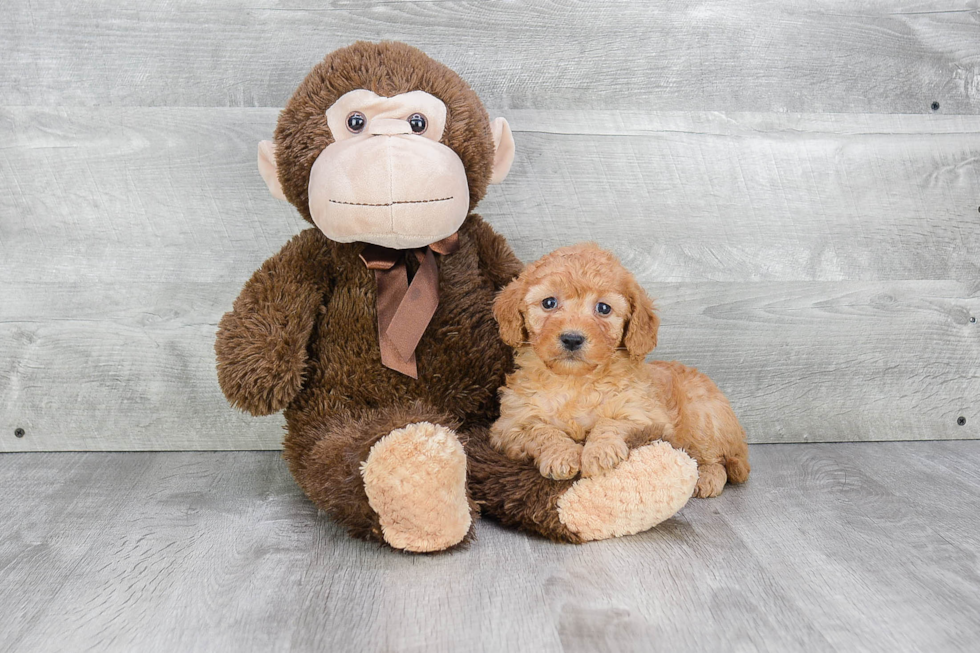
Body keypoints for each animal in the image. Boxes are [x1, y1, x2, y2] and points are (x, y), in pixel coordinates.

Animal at [490, 242, 752, 496]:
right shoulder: (508, 426)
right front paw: (561, 454)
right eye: (549, 303)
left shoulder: (645, 415)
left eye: (604, 308)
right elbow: (542, 430)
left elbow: (610, 422)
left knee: (718, 461)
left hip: (703, 419)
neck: (575, 381)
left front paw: (599, 452)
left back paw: (706, 478)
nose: (572, 339)